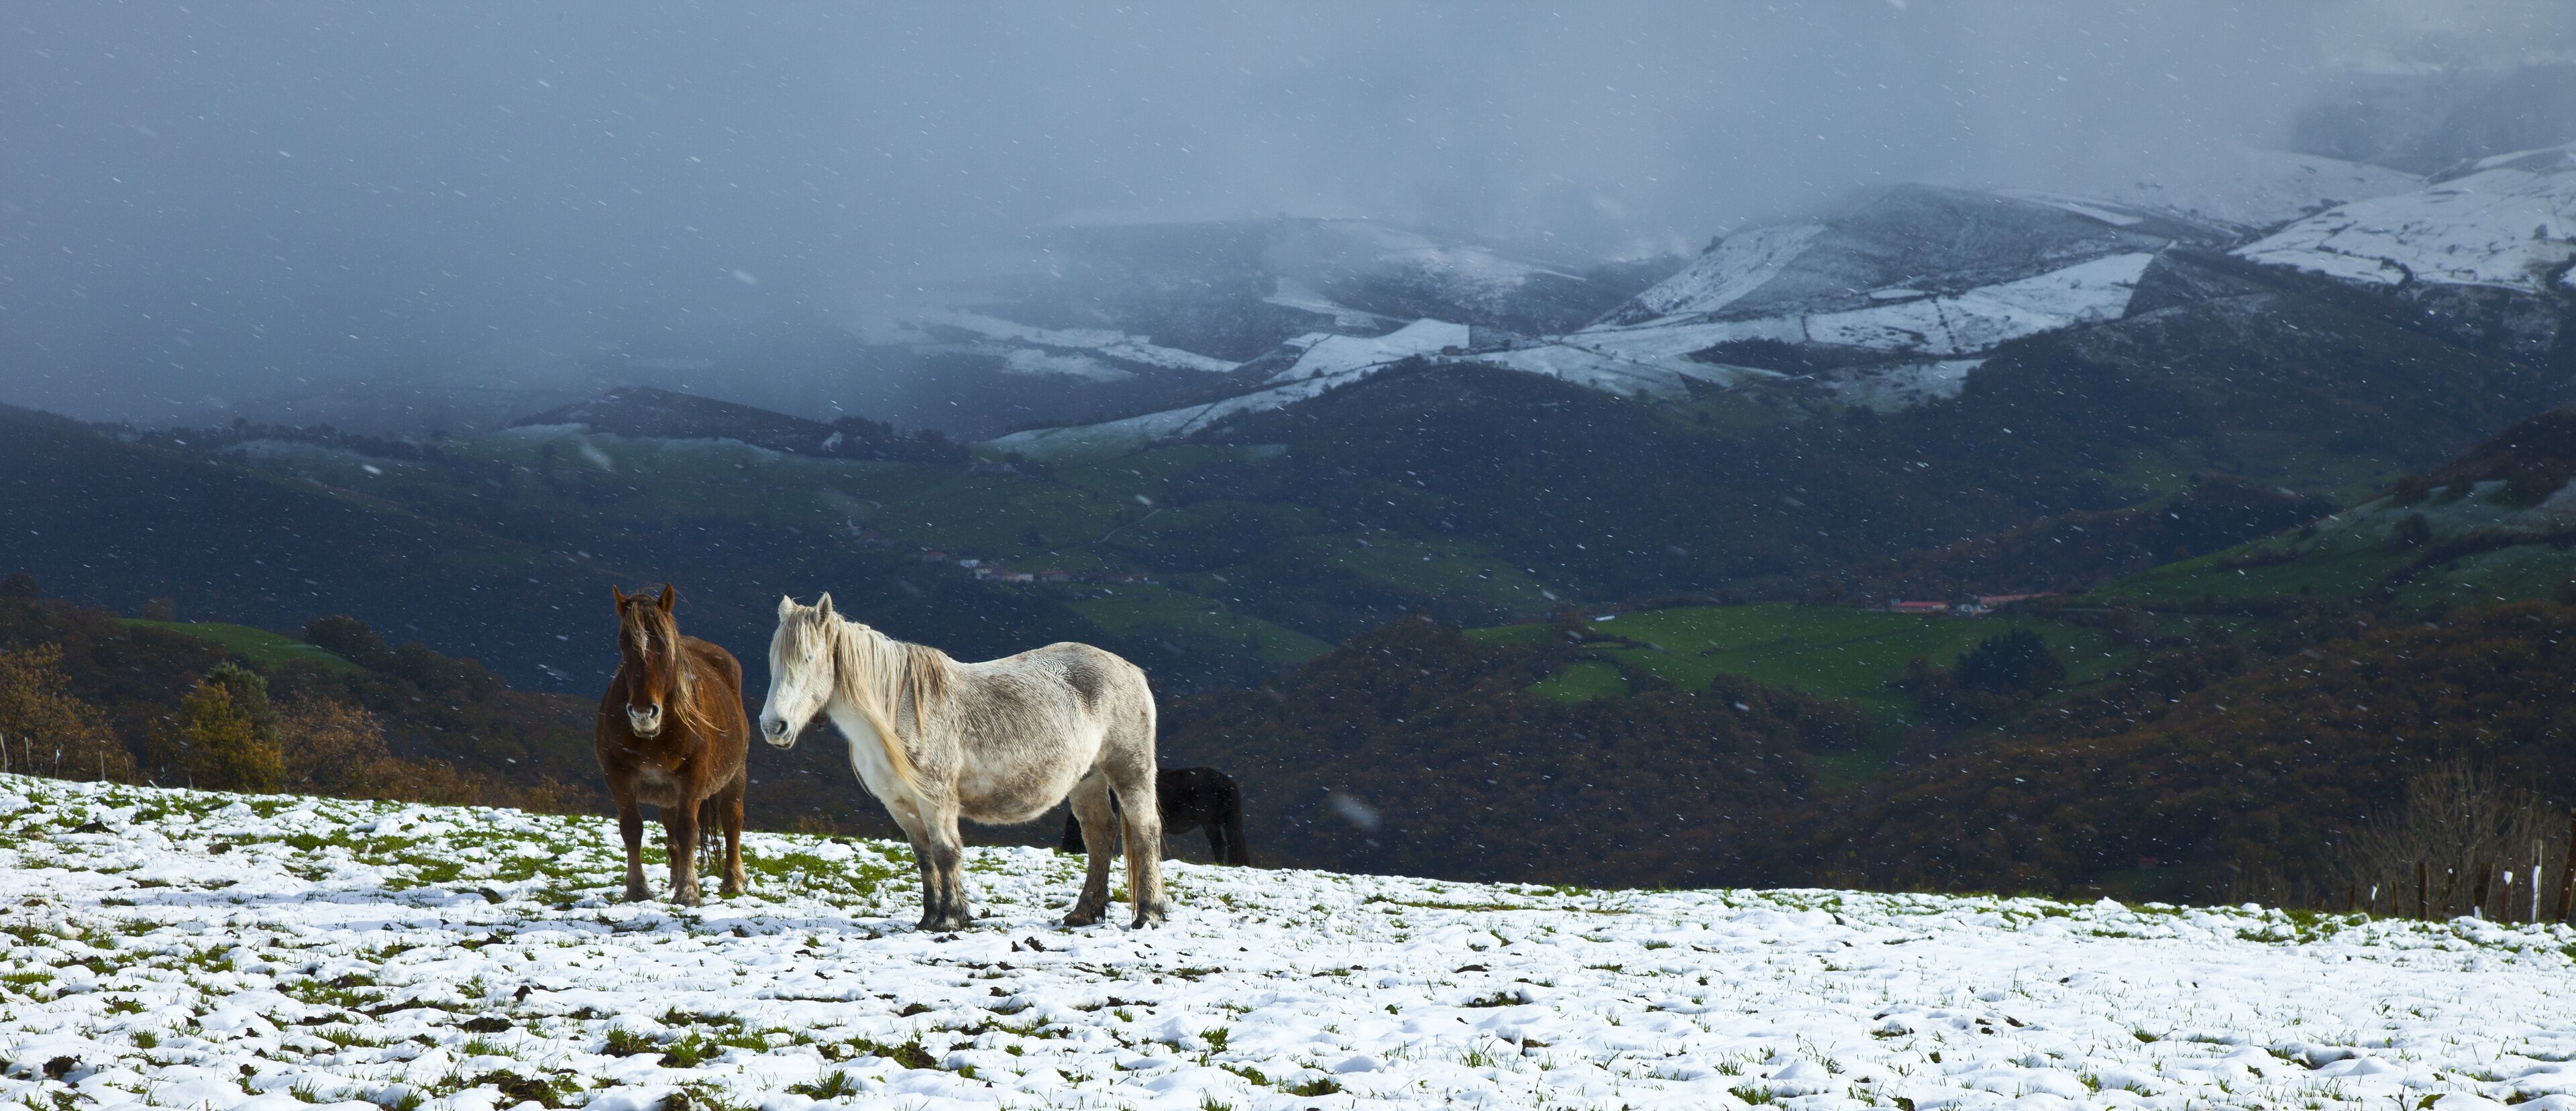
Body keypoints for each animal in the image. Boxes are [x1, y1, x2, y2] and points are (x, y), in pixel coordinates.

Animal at [596, 583, 751, 906]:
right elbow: (631, 829)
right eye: (623, 644)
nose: (643, 713)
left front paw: (689, 891)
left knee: (732, 822)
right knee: (671, 833)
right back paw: (673, 879)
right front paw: (638, 889)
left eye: (665, 646)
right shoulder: (616, 776)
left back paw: (733, 880)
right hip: (668, 794)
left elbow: (688, 830)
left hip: (735, 774)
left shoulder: (694, 777)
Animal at [758, 593, 1166, 930]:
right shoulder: (900, 805)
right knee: (1099, 834)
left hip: (1130, 771)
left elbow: (946, 851)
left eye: (809, 658)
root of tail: (1130, 670)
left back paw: (1148, 914)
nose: (773, 727)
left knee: (1144, 832)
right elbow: (925, 857)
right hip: (1087, 779)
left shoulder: (936, 799)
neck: (896, 714)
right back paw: (1083, 913)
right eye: (773, 661)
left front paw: (951, 918)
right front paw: (928, 918)